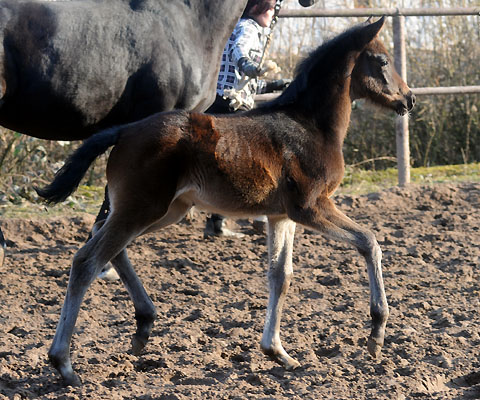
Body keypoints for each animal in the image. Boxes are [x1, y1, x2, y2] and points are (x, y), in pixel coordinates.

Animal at [38, 17, 416, 386]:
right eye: (382, 61)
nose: (409, 99)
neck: (311, 126)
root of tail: (124, 131)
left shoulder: (281, 215)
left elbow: (281, 275)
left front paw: (277, 352)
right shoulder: (310, 207)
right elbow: (369, 242)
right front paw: (377, 333)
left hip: (164, 211)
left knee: (108, 245)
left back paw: (144, 326)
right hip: (142, 208)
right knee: (86, 261)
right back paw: (64, 364)